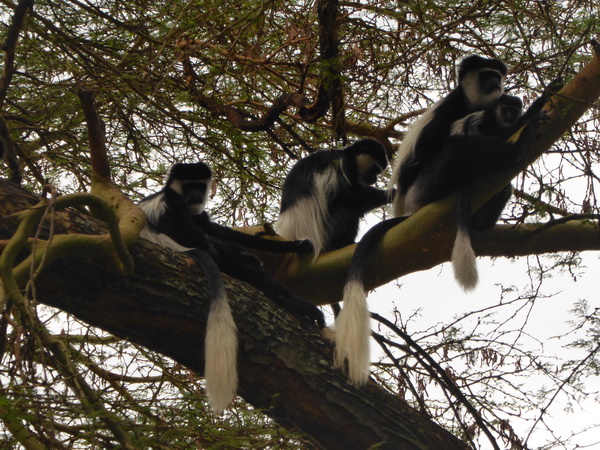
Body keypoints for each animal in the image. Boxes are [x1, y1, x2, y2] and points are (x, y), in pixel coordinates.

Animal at [138, 163, 324, 414]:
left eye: (200, 185)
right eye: (189, 185)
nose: (196, 195)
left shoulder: (199, 215)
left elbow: (221, 231)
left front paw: (296, 245)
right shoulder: (171, 204)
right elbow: (194, 233)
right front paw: (238, 252)